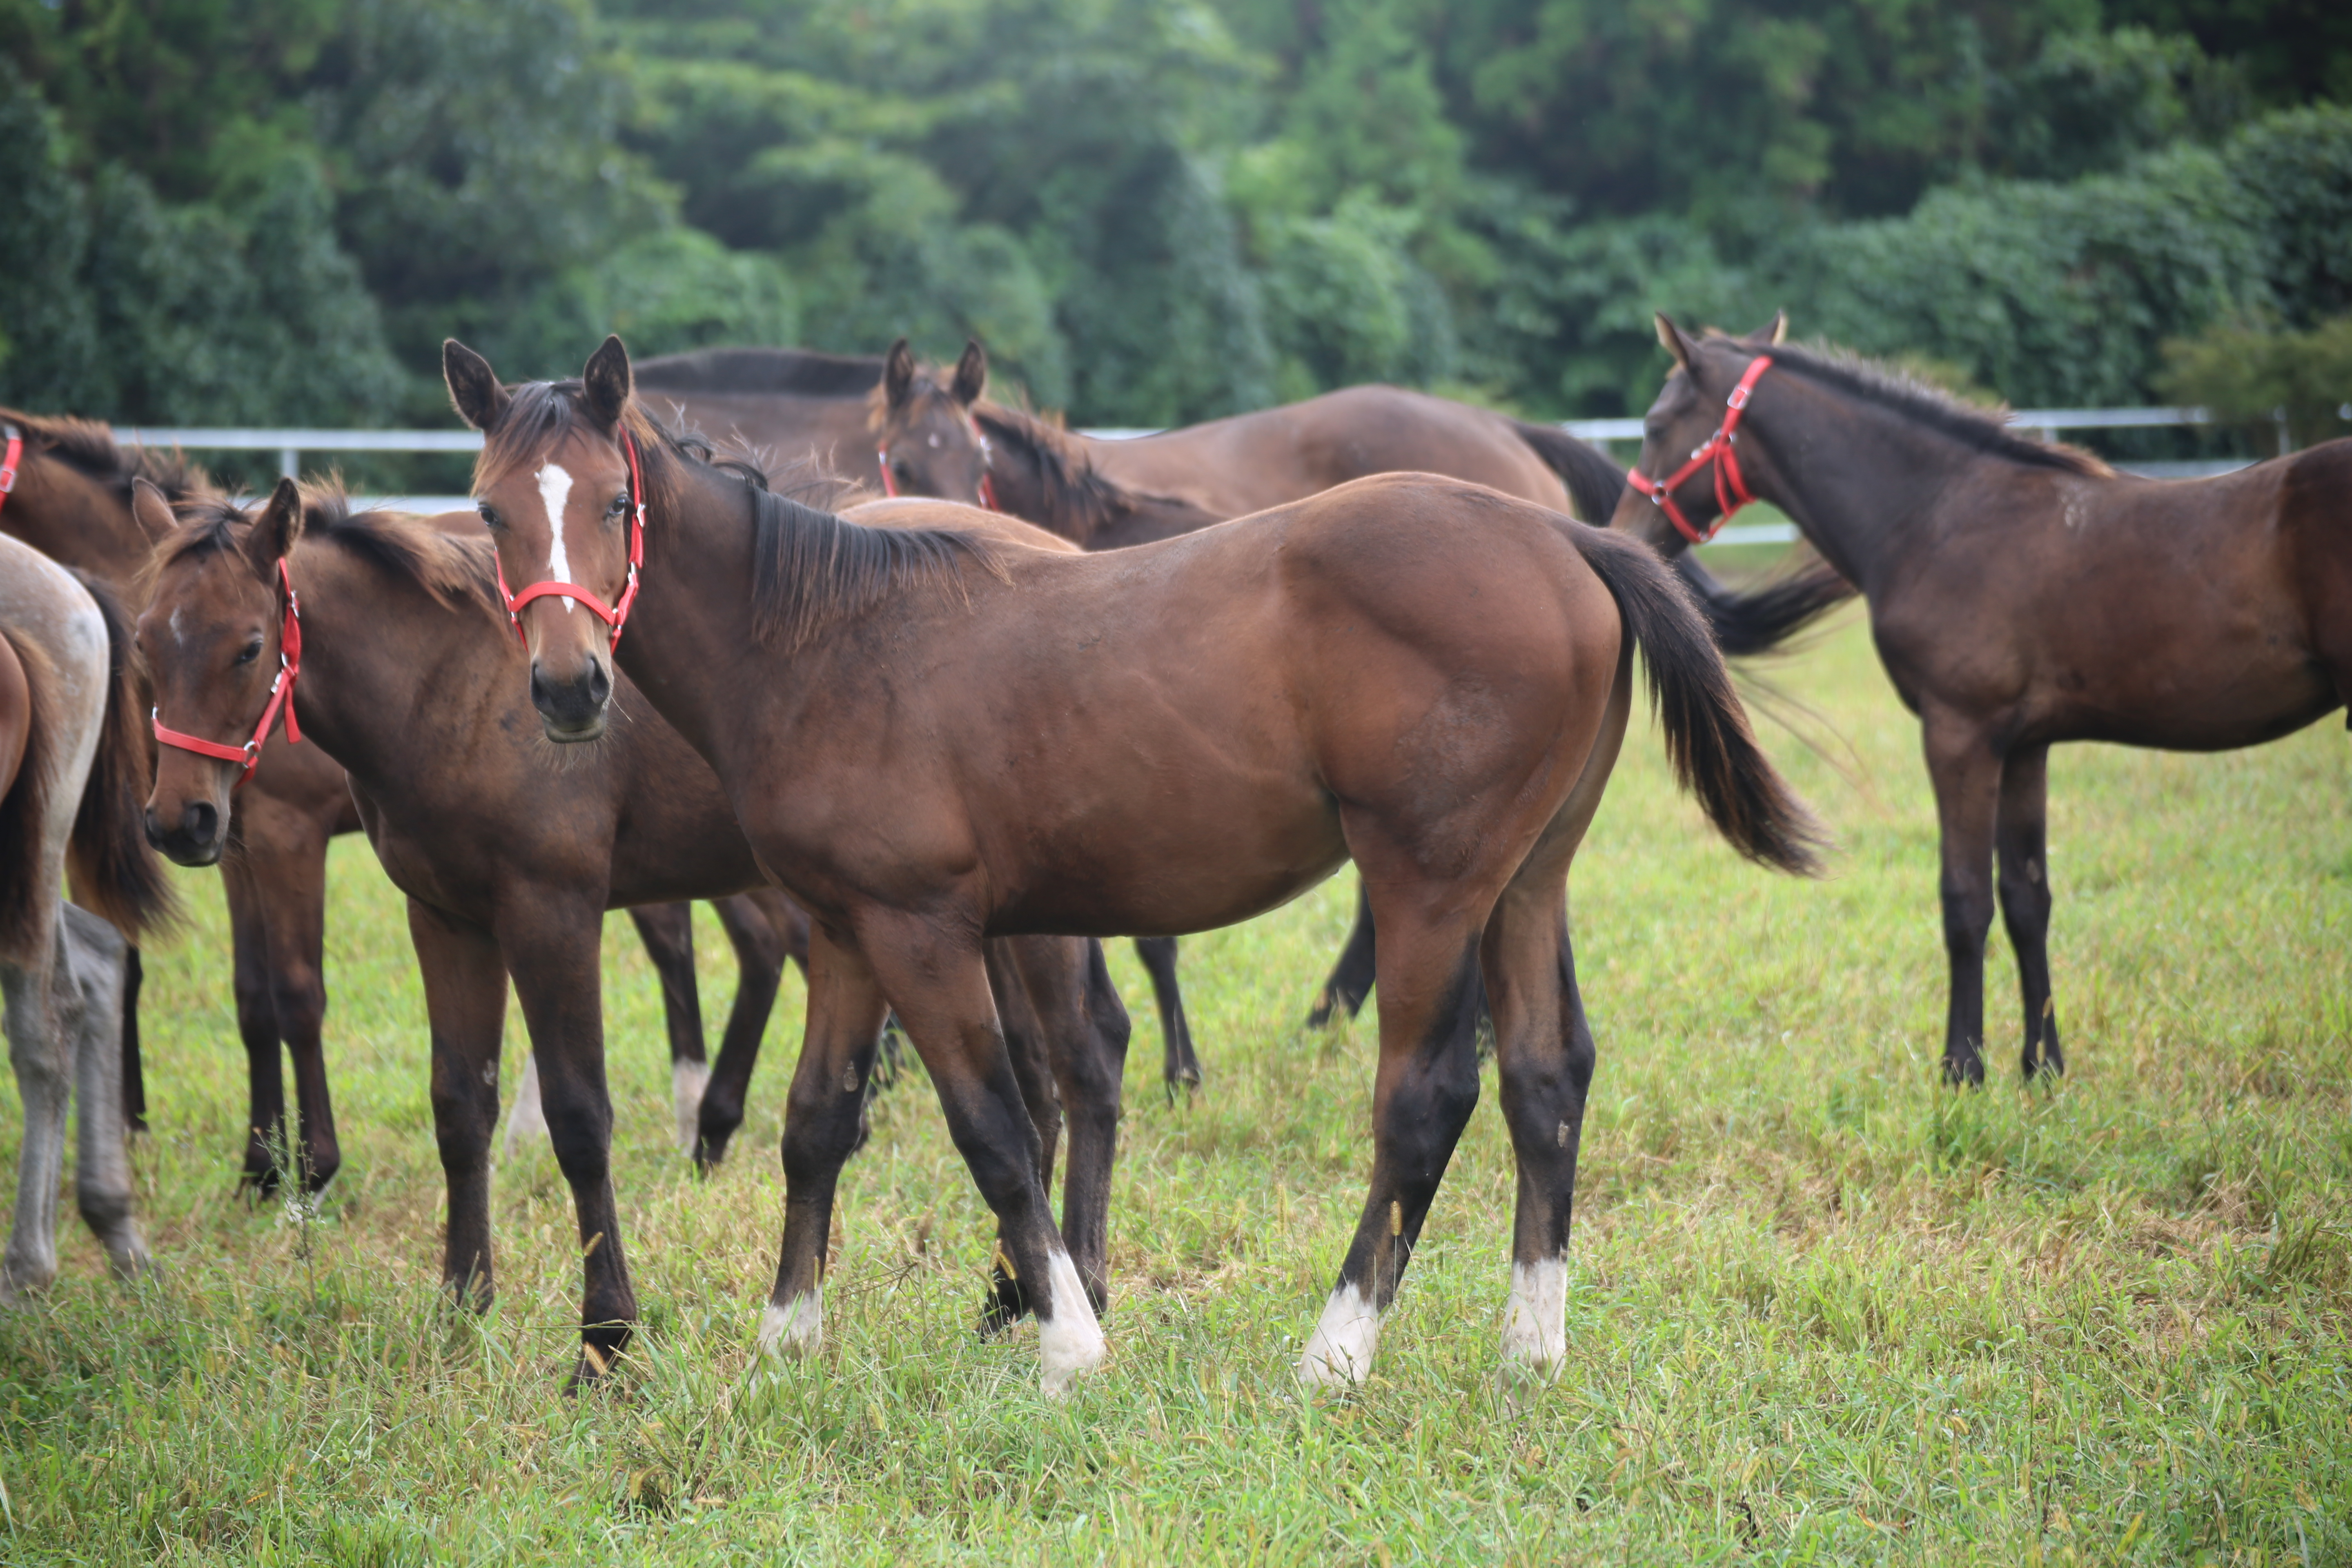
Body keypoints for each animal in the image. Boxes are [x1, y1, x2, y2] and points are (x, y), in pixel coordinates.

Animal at [135, 482, 1129, 1382]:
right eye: (143, 642)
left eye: (249, 646)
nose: (181, 821)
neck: (452, 682)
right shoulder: (447, 919)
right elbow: (459, 1108)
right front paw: (462, 1303)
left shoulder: (551, 910)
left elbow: (579, 1118)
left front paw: (606, 1337)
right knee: (1043, 1079)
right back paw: (1011, 1297)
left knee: (1078, 1064)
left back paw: (1057, 1293)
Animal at [432, 339, 1806, 1392]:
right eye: (491, 512)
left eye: (614, 505)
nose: (568, 689)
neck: (823, 636)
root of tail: (1567, 541)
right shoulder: (849, 929)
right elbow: (818, 1124)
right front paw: (786, 1343)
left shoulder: (924, 929)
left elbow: (993, 1127)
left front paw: (1068, 1344)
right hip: (1528, 882)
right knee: (1546, 1078)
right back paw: (1530, 1347)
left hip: (1434, 887)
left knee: (1426, 1100)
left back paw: (1334, 1353)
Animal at [1618, 312, 2352, 1086]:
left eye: (1657, 424)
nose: (1626, 530)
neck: (1937, 516)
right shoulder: (2025, 745)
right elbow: (2027, 898)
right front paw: (2043, 1066)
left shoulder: (1960, 734)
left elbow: (1964, 898)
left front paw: (1962, 1067)